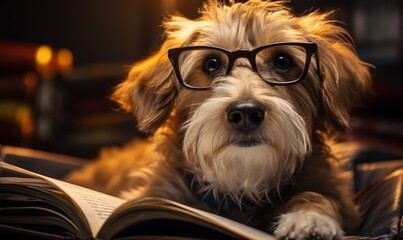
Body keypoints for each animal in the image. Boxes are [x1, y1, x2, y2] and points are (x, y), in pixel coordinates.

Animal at [66, 0, 372, 238]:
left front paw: (310, 217)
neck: (240, 189)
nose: (246, 112)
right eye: (211, 63)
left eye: (283, 61)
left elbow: (319, 196)